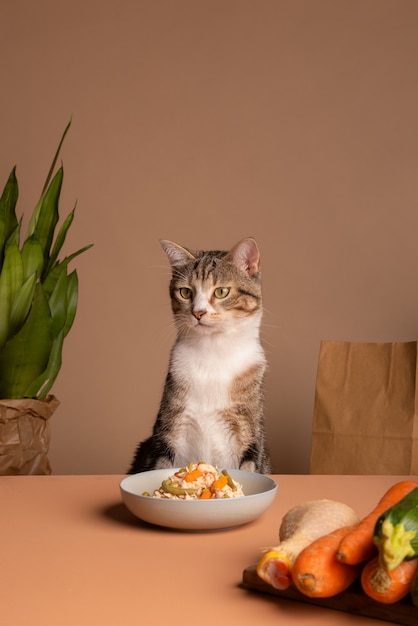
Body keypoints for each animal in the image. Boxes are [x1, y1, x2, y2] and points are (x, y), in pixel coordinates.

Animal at [128, 236, 272, 470]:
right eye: (186, 292)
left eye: (221, 291)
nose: (198, 312)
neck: (213, 354)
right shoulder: (168, 429)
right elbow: (162, 464)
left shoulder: (249, 432)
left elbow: (250, 465)